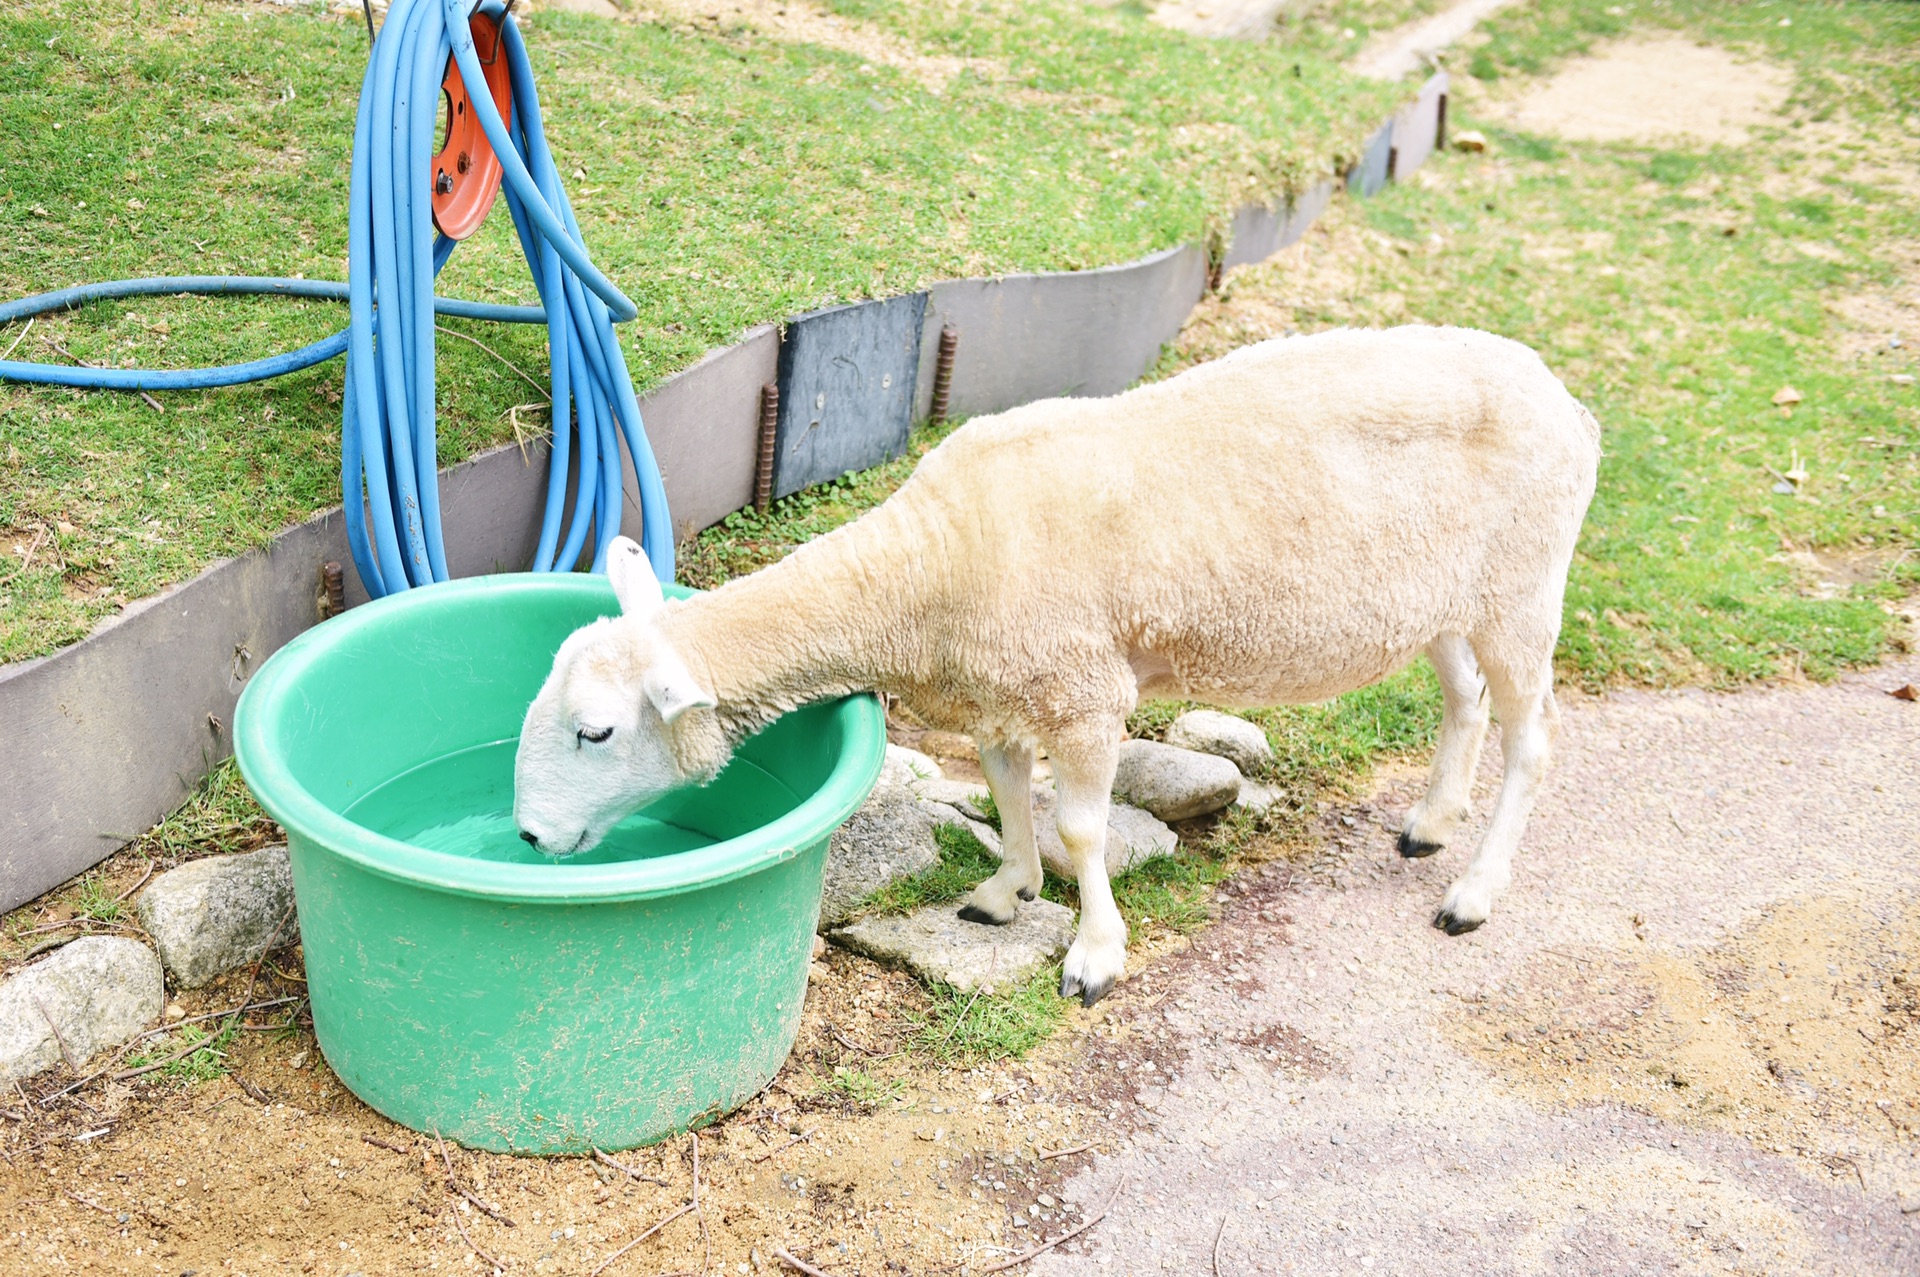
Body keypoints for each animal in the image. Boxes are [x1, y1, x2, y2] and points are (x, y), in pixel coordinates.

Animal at [514, 326, 1605, 1006]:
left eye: (595, 731)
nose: (525, 834)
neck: (927, 563)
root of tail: (1567, 398)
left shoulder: (1084, 689)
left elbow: (1082, 825)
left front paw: (1093, 952)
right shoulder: (1000, 691)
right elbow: (1006, 791)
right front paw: (1008, 890)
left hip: (1525, 583)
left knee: (1536, 742)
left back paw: (1473, 891)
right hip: (1450, 595)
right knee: (1467, 702)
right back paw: (1430, 823)